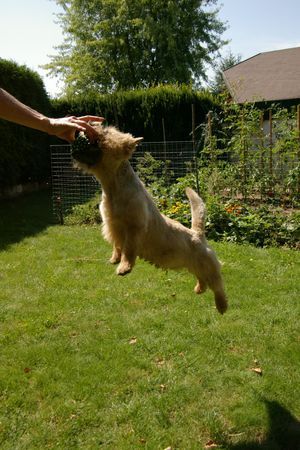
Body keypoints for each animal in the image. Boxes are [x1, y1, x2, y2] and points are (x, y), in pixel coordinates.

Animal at [72, 123, 227, 312]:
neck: (114, 187)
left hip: (207, 265)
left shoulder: (134, 227)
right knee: (202, 278)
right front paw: (115, 259)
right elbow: (117, 246)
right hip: (193, 265)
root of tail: (197, 233)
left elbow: (128, 250)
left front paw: (124, 267)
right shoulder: (113, 226)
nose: (80, 131)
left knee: (217, 284)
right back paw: (199, 289)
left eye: (100, 137)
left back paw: (222, 306)